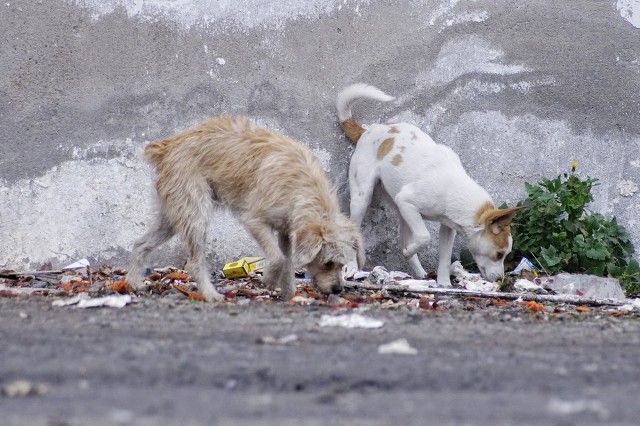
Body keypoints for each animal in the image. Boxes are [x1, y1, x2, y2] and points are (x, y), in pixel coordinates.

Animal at [127, 115, 362, 302]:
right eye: (328, 263)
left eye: (342, 265)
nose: (338, 290)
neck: (302, 186)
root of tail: (166, 147)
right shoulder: (255, 220)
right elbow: (277, 258)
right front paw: (269, 280)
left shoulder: (286, 230)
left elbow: (286, 260)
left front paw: (288, 292)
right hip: (195, 216)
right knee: (194, 262)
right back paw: (210, 294)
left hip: (171, 217)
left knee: (140, 244)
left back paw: (133, 283)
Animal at [338, 83, 524, 286]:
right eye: (499, 255)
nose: (500, 280)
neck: (454, 188)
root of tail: (367, 131)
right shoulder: (408, 202)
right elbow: (424, 236)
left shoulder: (447, 228)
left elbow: (444, 258)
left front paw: (444, 284)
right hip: (362, 198)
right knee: (352, 235)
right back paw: (352, 269)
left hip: (400, 211)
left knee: (403, 241)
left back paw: (420, 274)